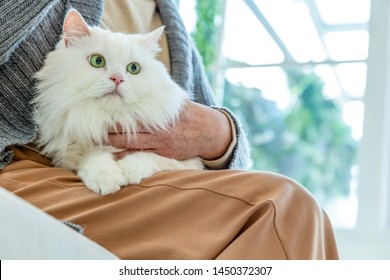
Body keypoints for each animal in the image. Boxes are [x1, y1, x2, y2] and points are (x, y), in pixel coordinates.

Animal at [33, 9, 204, 196]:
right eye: (97, 61)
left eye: (133, 68)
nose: (117, 78)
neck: (109, 118)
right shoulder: (69, 151)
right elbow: (94, 157)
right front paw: (107, 178)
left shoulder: (184, 158)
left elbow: (147, 156)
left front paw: (129, 170)